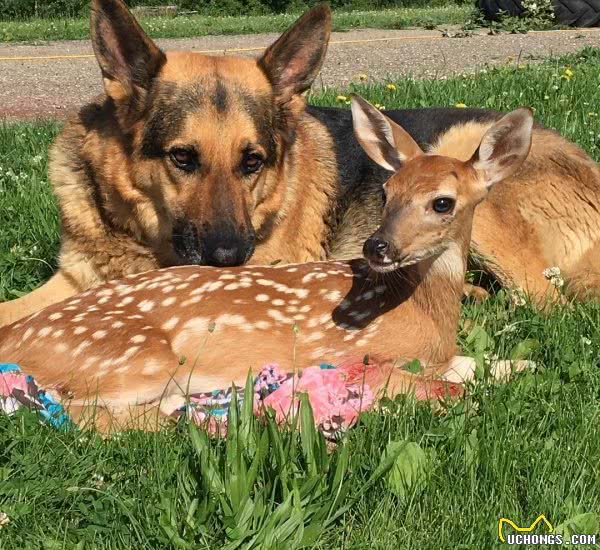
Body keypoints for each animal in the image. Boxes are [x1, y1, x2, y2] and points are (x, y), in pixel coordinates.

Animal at [1, 1, 600, 328]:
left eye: (253, 161)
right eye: (182, 157)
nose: (229, 257)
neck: (145, 240)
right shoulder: (71, 281)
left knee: (543, 300)